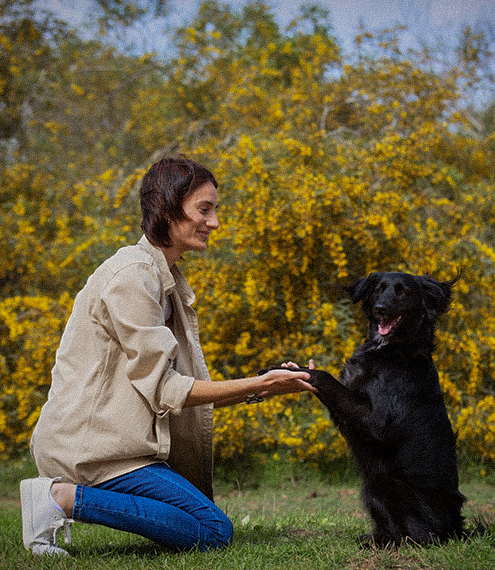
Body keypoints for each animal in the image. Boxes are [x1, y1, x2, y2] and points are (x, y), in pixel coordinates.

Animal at [268, 272, 464, 544]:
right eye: (379, 289)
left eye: (403, 292)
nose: (380, 308)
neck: (391, 349)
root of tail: (454, 529)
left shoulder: (374, 422)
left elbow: (323, 377)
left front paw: (281, 371)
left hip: (379, 483)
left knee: (418, 537)